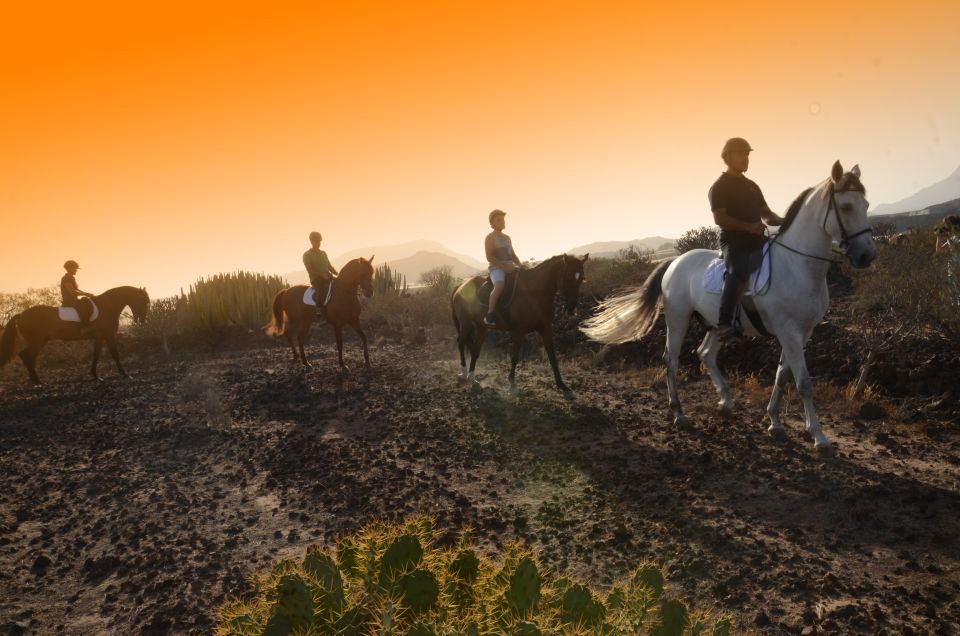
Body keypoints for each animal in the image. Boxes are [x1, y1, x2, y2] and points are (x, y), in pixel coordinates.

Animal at [0, 286, 151, 386]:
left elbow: (96, 355)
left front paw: (95, 376)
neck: (106, 306)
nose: (143, 320)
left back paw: (34, 380)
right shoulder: (108, 335)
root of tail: (21, 315)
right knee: (27, 356)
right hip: (37, 341)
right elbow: (115, 354)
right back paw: (38, 381)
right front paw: (125, 374)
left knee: (27, 357)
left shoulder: (100, 337)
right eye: (144, 301)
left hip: (39, 341)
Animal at [452, 253, 592, 398]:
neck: (534, 293)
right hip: (466, 323)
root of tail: (461, 285)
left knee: (475, 350)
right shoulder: (518, 332)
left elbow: (552, 357)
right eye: (567, 277)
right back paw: (463, 373)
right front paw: (512, 384)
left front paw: (562, 386)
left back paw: (472, 379)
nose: (571, 308)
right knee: (461, 343)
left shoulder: (546, 329)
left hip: (481, 327)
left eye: (582, 278)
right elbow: (515, 357)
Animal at [576, 164, 876, 452]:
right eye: (846, 207)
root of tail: (674, 262)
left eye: (866, 205)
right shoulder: (789, 332)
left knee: (705, 354)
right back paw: (679, 413)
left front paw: (775, 422)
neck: (798, 266)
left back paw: (726, 401)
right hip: (678, 319)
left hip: (716, 323)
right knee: (671, 359)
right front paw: (819, 437)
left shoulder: (802, 334)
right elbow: (803, 383)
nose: (866, 256)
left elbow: (782, 376)